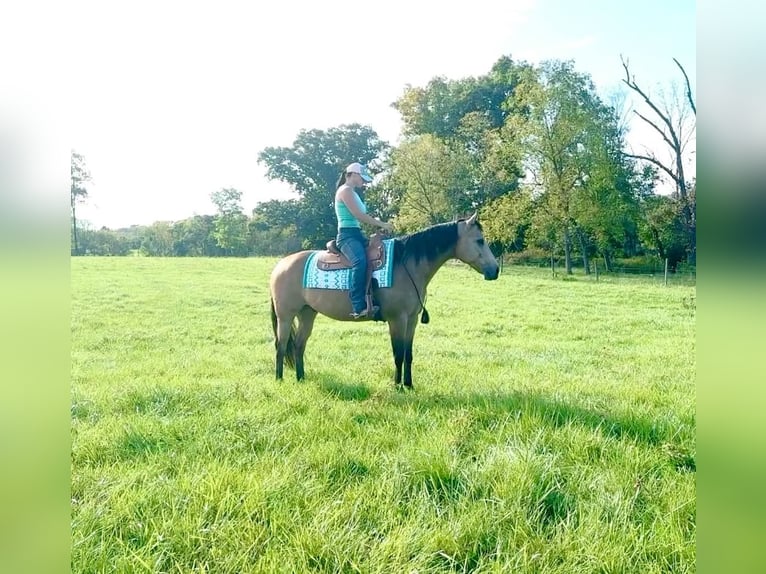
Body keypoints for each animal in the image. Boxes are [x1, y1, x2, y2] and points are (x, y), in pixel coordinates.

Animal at [268, 212, 500, 388]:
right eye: (480, 241)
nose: (495, 270)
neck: (406, 264)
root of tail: (281, 265)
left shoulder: (412, 320)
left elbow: (408, 354)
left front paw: (409, 385)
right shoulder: (397, 319)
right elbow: (398, 354)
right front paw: (398, 386)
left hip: (307, 313)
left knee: (299, 345)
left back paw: (301, 378)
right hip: (285, 316)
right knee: (281, 345)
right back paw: (279, 379)